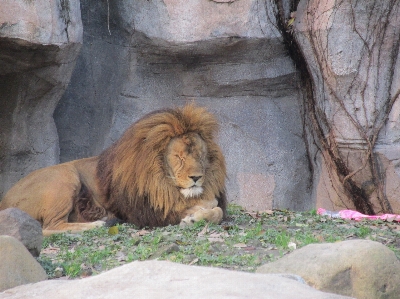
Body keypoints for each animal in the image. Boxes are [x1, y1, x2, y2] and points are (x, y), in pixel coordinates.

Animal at [0, 104, 227, 236]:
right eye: (179, 157)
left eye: (199, 155)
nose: (196, 177)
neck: (162, 180)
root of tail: (4, 202)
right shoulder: (151, 212)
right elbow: (211, 208)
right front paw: (196, 214)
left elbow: (217, 209)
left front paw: (199, 213)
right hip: (65, 178)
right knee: (49, 227)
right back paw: (97, 224)